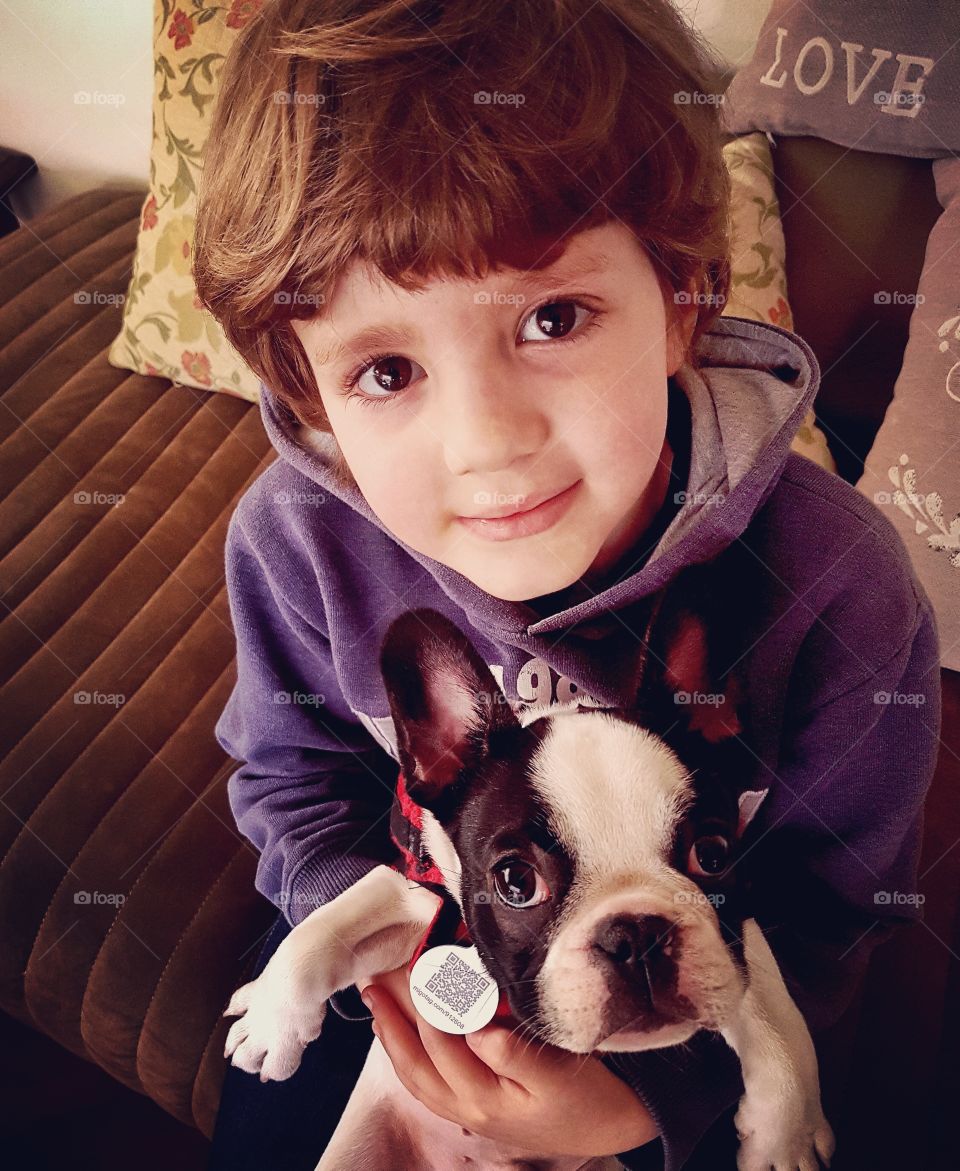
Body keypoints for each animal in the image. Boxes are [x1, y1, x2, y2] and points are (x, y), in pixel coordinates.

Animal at [223, 604, 833, 1171]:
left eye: (712, 855)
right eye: (516, 882)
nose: (638, 937)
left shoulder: (735, 936)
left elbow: (774, 1007)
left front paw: (786, 1133)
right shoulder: (421, 898)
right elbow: (327, 923)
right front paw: (270, 1019)